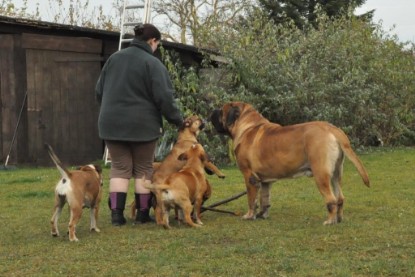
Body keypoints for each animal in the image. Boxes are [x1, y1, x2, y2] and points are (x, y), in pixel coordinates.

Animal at [211, 101, 370, 224]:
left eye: (221, 110)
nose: (212, 111)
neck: (247, 126)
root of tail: (332, 128)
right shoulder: (265, 181)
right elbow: (264, 199)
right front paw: (262, 215)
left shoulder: (249, 176)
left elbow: (251, 199)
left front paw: (249, 216)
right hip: (336, 174)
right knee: (340, 197)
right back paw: (338, 219)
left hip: (321, 174)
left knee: (331, 200)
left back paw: (330, 221)